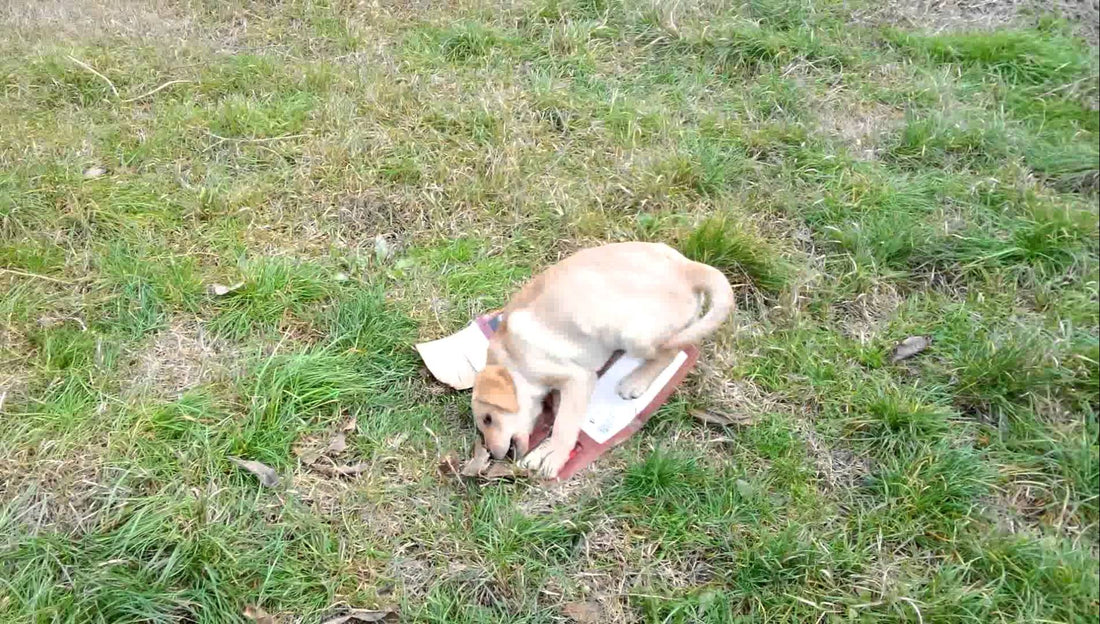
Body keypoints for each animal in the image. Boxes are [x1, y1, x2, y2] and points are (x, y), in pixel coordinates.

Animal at [470, 243, 734, 477]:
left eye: (488, 419)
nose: (492, 454)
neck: (512, 357)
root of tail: (688, 268)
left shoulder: (578, 378)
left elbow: (565, 426)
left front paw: (552, 457)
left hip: (634, 334)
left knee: (670, 351)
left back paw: (635, 381)